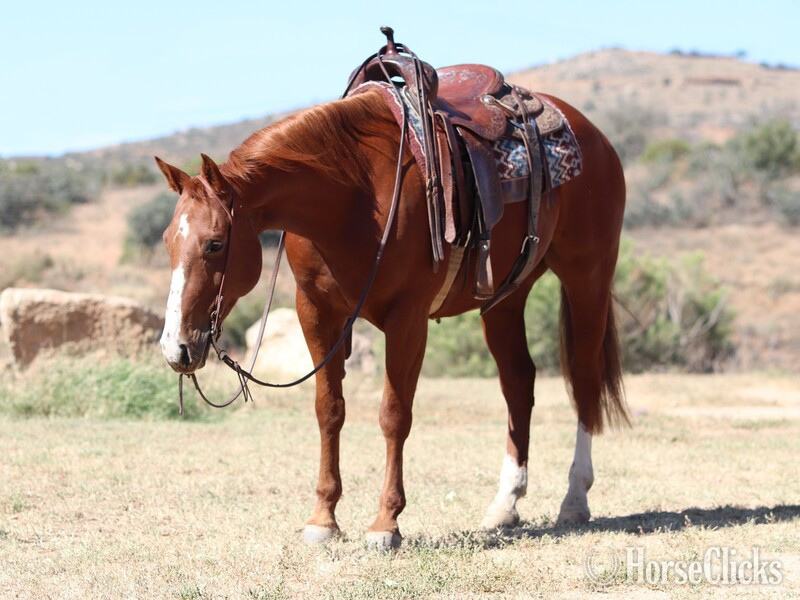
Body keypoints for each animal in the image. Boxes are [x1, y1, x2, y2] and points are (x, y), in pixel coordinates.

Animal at [155, 82, 628, 549]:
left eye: (215, 243)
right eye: (166, 240)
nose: (176, 348)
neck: (350, 198)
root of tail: (595, 137)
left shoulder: (407, 319)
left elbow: (394, 416)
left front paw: (386, 522)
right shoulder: (316, 313)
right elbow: (329, 409)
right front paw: (323, 518)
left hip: (588, 277)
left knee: (584, 379)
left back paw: (574, 499)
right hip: (504, 300)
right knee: (518, 383)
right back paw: (505, 504)